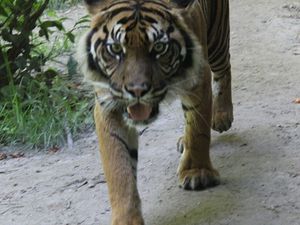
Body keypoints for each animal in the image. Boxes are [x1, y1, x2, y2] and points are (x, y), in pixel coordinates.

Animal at [77, 0, 232, 224]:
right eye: (115, 48)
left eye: (159, 47)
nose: (137, 90)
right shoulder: (109, 103)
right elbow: (118, 165)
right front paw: (126, 218)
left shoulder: (198, 81)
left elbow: (198, 130)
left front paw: (197, 173)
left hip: (216, 39)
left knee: (224, 69)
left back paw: (222, 116)